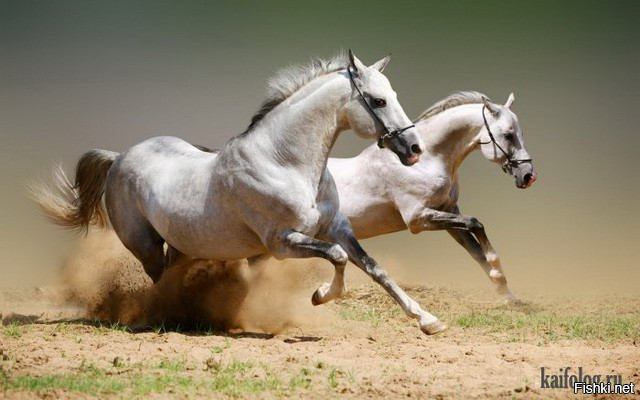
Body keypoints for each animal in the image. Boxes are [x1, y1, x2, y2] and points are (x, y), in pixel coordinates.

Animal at [35, 51, 450, 336]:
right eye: (378, 100)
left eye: (392, 94)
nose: (414, 148)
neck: (284, 162)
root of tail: (119, 157)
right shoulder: (282, 243)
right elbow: (337, 258)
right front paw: (319, 295)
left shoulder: (337, 228)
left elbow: (374, 268)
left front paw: (428, 320)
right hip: (145, 245)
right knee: (158, 282)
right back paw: (165, 317)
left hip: (182, 245)